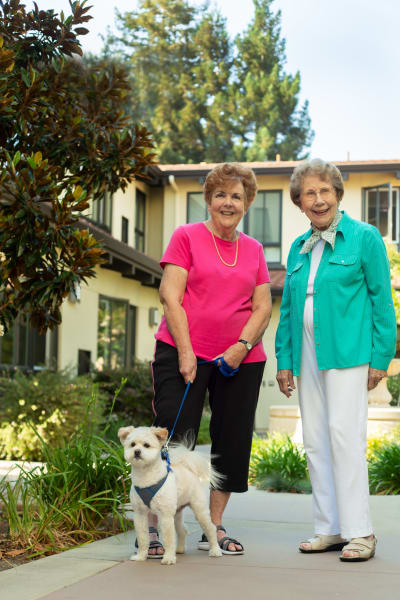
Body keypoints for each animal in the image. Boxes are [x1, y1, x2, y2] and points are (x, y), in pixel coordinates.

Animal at [120, 424, 223, 564]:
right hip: (177, 514)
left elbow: (168, 539)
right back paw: (179, 549)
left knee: (211, 529)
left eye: (146, 445)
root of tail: (189, 470)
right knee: (182, 531)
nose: (136, 451)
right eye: (132, 444)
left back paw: (215, 550)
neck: (146, 478)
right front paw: (141, 556)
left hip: (199, 511)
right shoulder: (140, 515)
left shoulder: (165, 515)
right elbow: (142, 538)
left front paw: (168, 558)